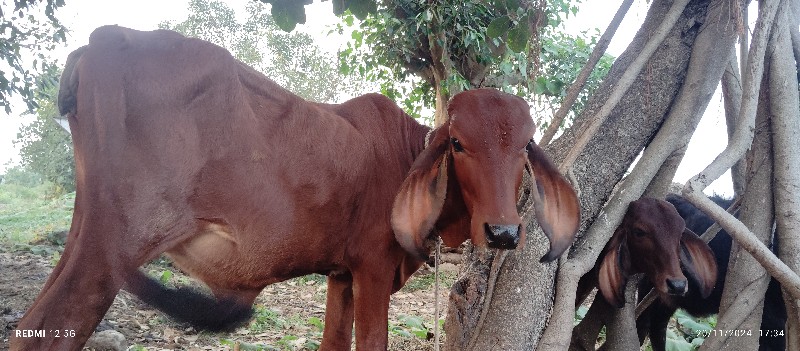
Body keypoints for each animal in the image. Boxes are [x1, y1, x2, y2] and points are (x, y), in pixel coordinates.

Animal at [9, 25, 580, 351]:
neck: (403, 153)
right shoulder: (373, 271)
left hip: (86, 234)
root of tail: (100, 39)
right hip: (115, 247)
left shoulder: (341, 277)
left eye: (525, 147)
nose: (504, 233)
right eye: (458, 143)